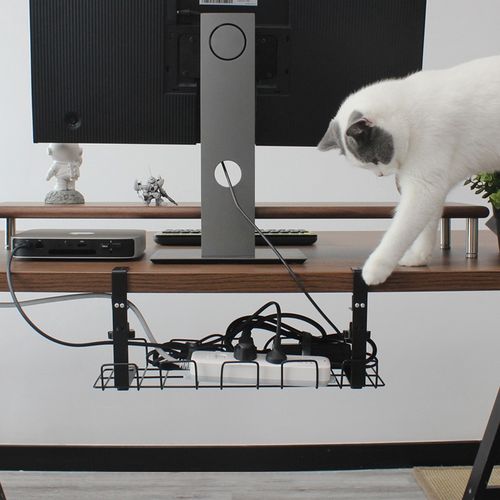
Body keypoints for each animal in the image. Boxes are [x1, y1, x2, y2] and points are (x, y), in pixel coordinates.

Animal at [318, 54, 500, 286]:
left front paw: (374, 269)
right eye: (367, 166)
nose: (380, 175)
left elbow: (399, 232)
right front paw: (418, 258)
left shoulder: (423, 186)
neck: (410, 118)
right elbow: (427, 225)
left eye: (375, 159)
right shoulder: (433, 184)